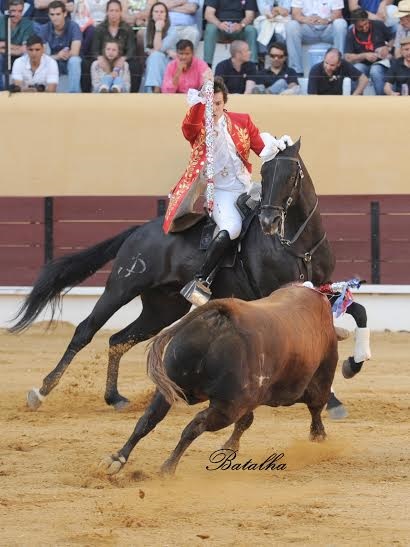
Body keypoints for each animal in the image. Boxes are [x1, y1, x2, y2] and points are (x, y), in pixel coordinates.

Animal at [10, 140, 368, 416]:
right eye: (265, 174)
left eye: (291, 174)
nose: (268, 221)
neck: (297, 244)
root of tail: (140, 230)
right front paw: (332, 397)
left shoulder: (322, 290)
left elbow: (359, 311)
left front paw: (353, 366)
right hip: (121, 286)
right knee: (86, 330)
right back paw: (41, 392)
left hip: (163, 308)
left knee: (118, 339)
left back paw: (115, 398)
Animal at [101, 285, 340, 476]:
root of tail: (226, 314)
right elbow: (315, 407)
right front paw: (318, 435)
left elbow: (246, 421)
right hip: (229, 406)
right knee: (195, 425)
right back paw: (167, 468)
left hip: (171, 386)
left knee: (149, 419)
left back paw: (117, 459)